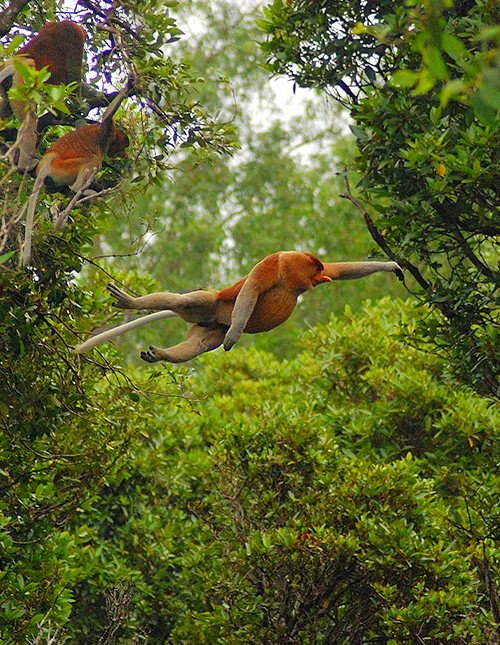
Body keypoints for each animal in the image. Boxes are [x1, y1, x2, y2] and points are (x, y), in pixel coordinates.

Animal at [0, 21, 86, 170]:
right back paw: (26, 165)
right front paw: (80, 107)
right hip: (22, 83)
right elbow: (73, 78)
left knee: (6, 109)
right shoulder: (73, 36)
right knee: (29, 120)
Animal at [75, 251, 404, 362]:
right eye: (314, 269)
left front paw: (392, 266)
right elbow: (252, 287)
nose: (320, 277)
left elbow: (344, 269)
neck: (290, 280)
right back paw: (132, 302)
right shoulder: (274, 264)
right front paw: (236, 336)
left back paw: (161, 355)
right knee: (185, 301)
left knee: (198, 345)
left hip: (210, 327)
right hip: (211, 305)